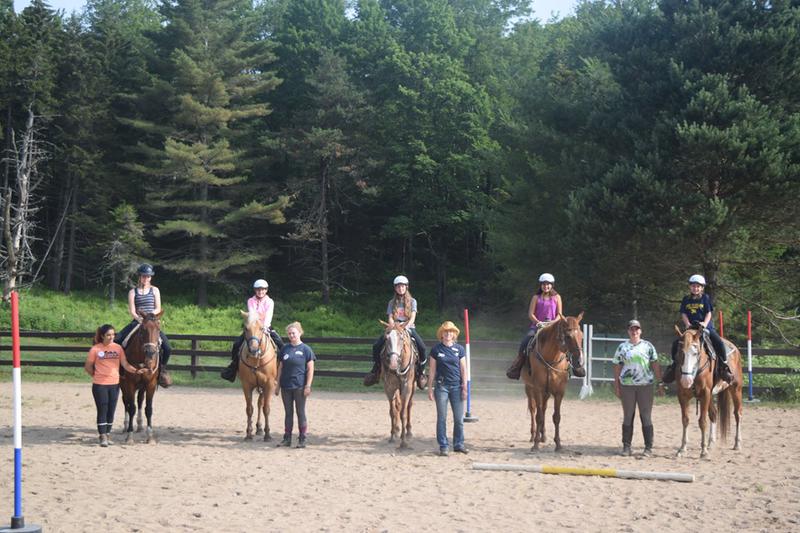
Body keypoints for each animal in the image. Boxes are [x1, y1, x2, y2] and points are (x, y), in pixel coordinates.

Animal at [120, 310, 162, 444]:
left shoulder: (151, 384)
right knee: (126, 402)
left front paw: (150, 436)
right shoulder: (130, 384)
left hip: (142, 386)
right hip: (123, 385)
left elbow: (148, 409)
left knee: (139, 400)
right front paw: (130, 436)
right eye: (143, 329)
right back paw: (126, 426)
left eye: (158, 329)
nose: (150, 352)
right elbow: (131, 407)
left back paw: (139, 425)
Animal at [237, 310, 278, 441]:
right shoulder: (246, 385)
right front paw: (248, 434)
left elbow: (266, 408)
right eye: (245, 328)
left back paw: (260, 429)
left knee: (261, 404)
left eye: (261, 328)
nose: (253, 349)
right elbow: (249, 409)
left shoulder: (269, 385)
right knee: (258, 404)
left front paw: (268, 434)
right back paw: (258, 428)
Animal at [380, 320, 417, 449]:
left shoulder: (406, 387)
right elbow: (393, 411)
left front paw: (403, 441)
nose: (393, 363)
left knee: (409, 406)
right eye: (386, 338)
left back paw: (409, 431)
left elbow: (403, 413)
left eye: (401, 338)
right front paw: (392, 436)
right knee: (398, 405)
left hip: (412, 386)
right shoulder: (389, 387)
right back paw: (396, 430)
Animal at [521, 313, 585, 452]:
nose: (580, 362)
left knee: (544, 409)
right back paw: (533, 435)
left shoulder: (559, 392)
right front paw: (536, 445)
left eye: (582, 335)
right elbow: (538, 417)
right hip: (529, 388)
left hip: (546, 392)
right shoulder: (538, 389)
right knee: (533, 409)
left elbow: (556, 417)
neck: (550, 358)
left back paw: (543, 435)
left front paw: (558, 444)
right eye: (568, 336)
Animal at [674, 325, 743, 458]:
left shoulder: (705, 394)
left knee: (738, 414)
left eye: (695, 353)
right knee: (714, 414)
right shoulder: (682, 395)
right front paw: (682, 448)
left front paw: (703, 451)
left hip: (736, 389)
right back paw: (711, 442)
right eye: (680, 352)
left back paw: (737, 443)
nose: (686, 380)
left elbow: (702, 421)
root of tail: (735, 349)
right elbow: (685, 420)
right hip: (711, 395)